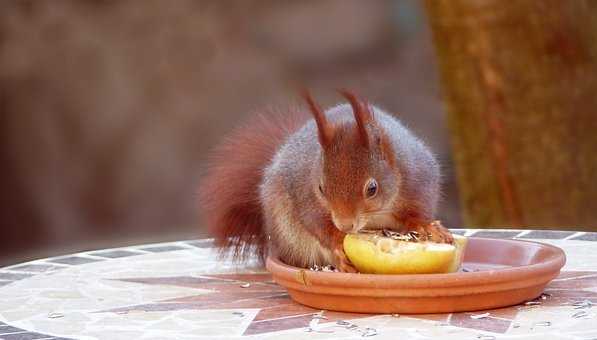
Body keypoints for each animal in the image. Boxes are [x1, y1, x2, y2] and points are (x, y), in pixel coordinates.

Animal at [198, 89, 450, 270]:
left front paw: (429, 227)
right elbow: (317, 224)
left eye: (372, 188)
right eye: (321, 188)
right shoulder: (305, 197)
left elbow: (416, 213)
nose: (346, 225)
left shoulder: (418, 179)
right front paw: (339, 246)